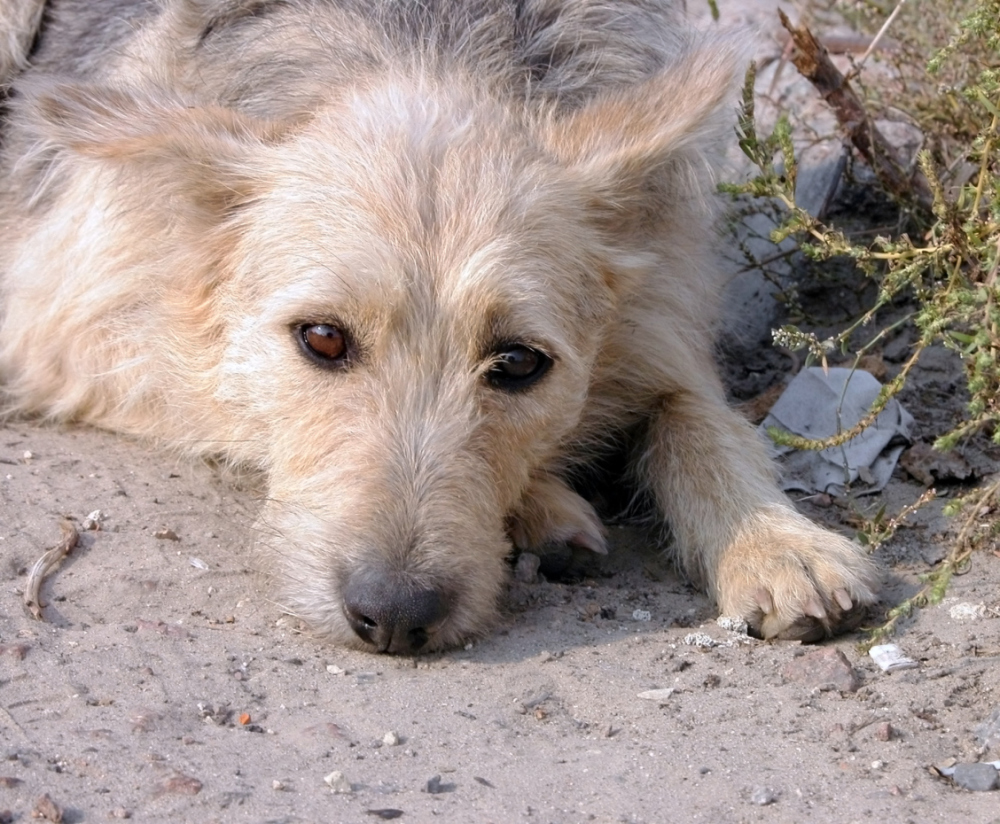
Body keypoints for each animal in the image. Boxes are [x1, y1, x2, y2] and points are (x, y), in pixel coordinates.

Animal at [0, 3, 876, 652]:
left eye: (519, 362)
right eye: (322, 338)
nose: (393, 616)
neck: (426, 43)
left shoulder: (662, 317)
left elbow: (700, 420)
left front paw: (776, 542)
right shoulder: (62, 328)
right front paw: (546, 506)